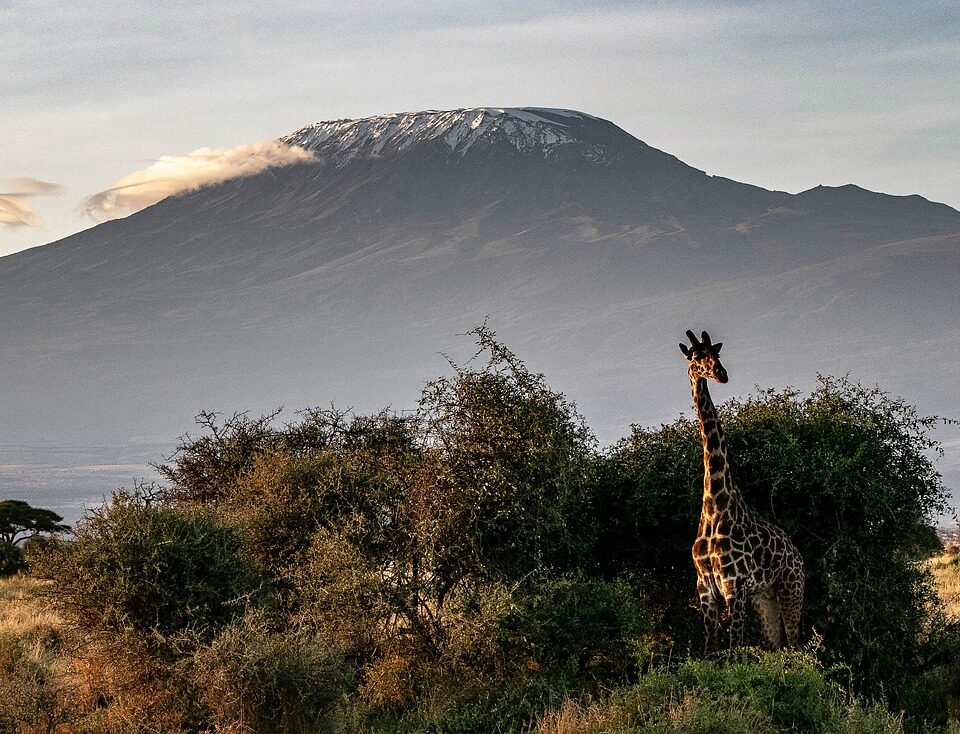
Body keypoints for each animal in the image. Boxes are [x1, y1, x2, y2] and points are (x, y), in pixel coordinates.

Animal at [680, 330, 808, 652]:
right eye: (696, 356)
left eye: (717, 355)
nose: (721, 374)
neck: (715, 503)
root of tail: (798, 554)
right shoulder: (705, 587)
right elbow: (710, 649)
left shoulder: (733, 585)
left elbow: (734, 650)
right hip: (765, 599)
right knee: (777, 646)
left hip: (791, 589)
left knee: (795, 644)